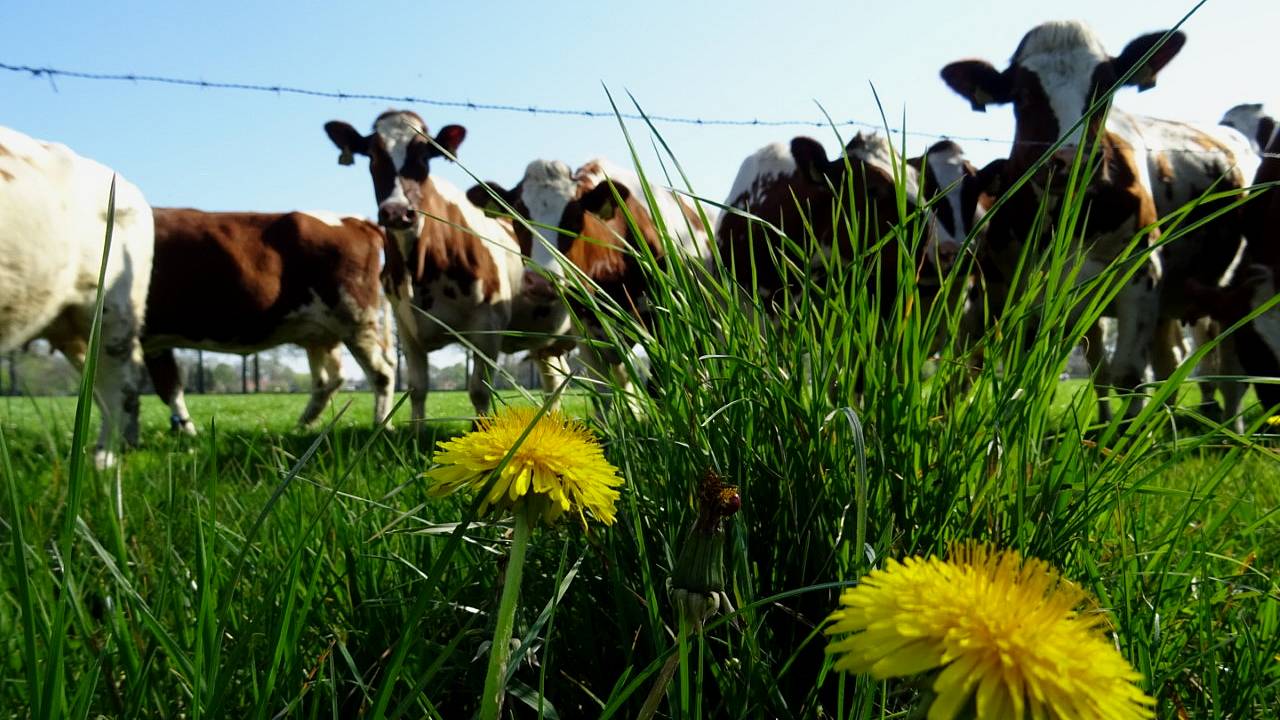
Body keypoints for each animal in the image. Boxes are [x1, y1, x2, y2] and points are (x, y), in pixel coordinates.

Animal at [142, 209, 397, 433]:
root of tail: (356, 221)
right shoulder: (154, 342)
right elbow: (169, 386)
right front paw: (183, 431)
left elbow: (165, 387)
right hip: (320, 333)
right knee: (328, 380)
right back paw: (304, 423)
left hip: (355, 320)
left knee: (382, 374)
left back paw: (381, 424)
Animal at [323, 110, 573, 423]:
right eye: (372, 155)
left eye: (423, 156)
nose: (397, 212)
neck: (419, 270)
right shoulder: (406, 327)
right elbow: (417, 389)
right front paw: (417, 431)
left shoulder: (487, 326)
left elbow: (479, 391)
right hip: (546, 342)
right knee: (555, 380)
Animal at [466, 158, 713, 405]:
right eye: (517, 216)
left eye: (575, 218)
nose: (541, 282)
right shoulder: (586, 331)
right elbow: (603, 395)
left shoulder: (666, 322)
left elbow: (660, 389)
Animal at [941, 20, 1258, 421]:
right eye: (1022, 95)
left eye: (1106, 88)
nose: (1070, 161)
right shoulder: (1013, 291)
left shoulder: (1141, 274)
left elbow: (1127, 374)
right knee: (1170, 360)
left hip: (1227, 292)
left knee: (1228, 369)